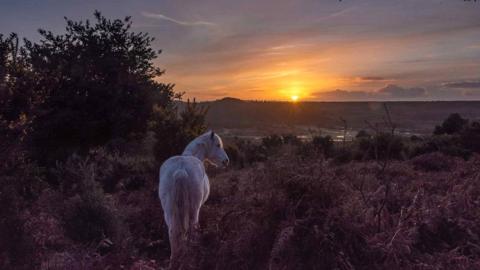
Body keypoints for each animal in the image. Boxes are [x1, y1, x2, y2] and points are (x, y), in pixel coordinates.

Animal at [158, 130, 230, 264]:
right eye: (218, 145)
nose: (226, 161)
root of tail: (181, 170)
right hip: (194, 210)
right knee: (192, 229)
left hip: (169, 211)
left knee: (173, 232)